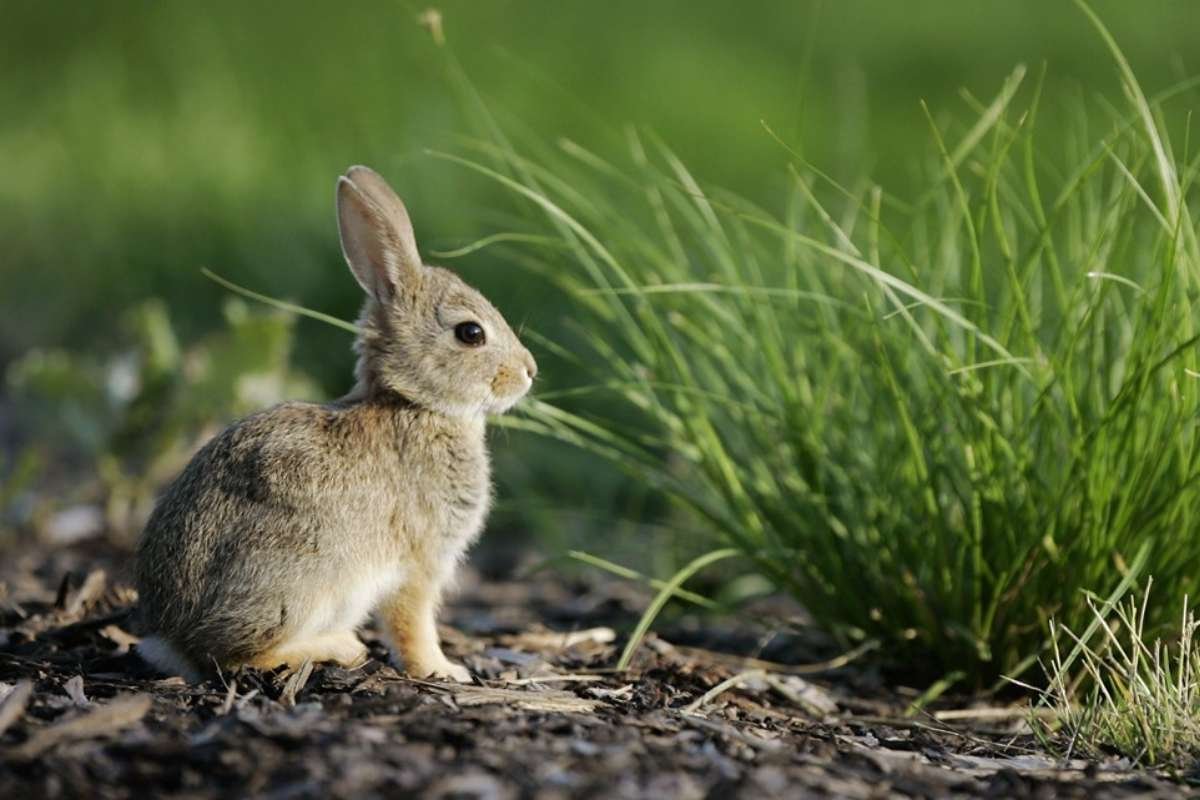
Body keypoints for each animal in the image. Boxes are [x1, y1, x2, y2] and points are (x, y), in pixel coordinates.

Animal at [134, 165, 537, 683]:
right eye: (471, 333)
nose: (529, 371)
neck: (414, 404)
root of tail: (172, 639)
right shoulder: (418, 565)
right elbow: (413, 626)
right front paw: (444, 670)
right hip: (303, 583)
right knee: (233, 654)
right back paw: (339, 647)